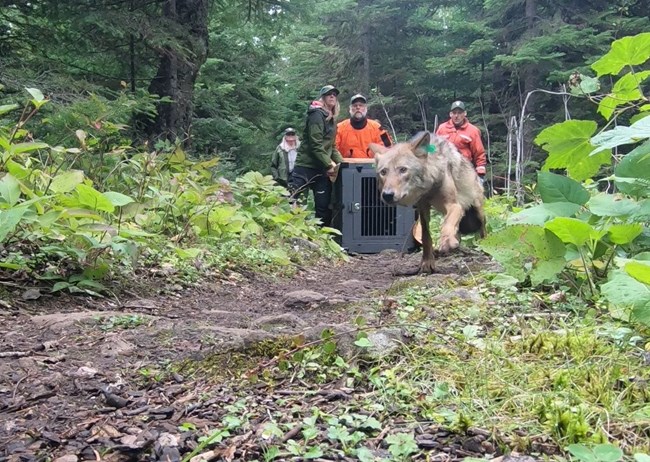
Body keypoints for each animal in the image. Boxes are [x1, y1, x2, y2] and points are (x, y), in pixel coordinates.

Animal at [368, 132, 484, 272]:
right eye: (383, 172)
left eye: (403, 170)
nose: (387, 195)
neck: (429, 187)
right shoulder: (422, 209)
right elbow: (426, 237)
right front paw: (427, 263)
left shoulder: (454, 205)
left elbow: (447, 224)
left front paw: (446, 241)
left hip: (478, 212)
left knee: (482, 229)